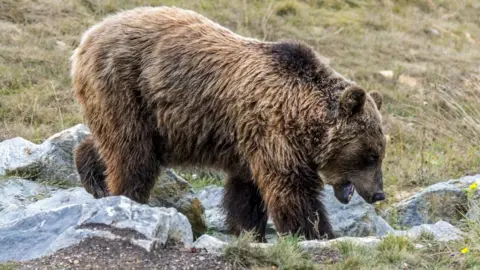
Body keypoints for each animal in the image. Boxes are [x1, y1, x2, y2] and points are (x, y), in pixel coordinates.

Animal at [71, 6, 386, 242]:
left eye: (380, 154)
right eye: (370, 155)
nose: (378, 193)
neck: (302, 116)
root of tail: (89, 35)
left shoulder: (249, 141)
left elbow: (246, 192)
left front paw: (250, 231)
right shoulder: (273, 133)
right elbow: (292, 189)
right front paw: (317, 232)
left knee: (112, 143)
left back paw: (93, 177)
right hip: (125, 86)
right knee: (133, 153)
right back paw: (126, 196)